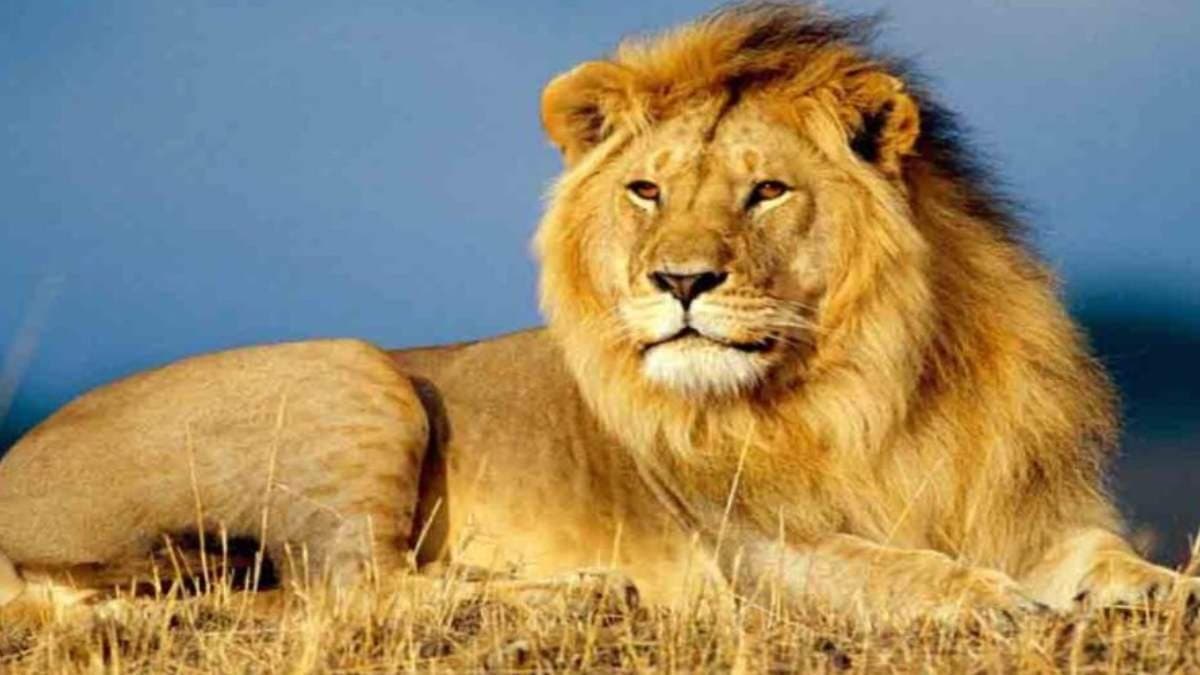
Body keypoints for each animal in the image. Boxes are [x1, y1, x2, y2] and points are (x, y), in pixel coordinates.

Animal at [0, 3, 1195, 621]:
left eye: (767, 191)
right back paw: (576, 593)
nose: (680, 282)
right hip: (354, 372)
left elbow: (1110, 558)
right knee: (350, 591)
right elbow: (888, 565)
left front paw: (1147, 594)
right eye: (648, 191)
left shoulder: (1030, 511)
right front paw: (991, 603)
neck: (876, 382)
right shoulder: (752, 551)